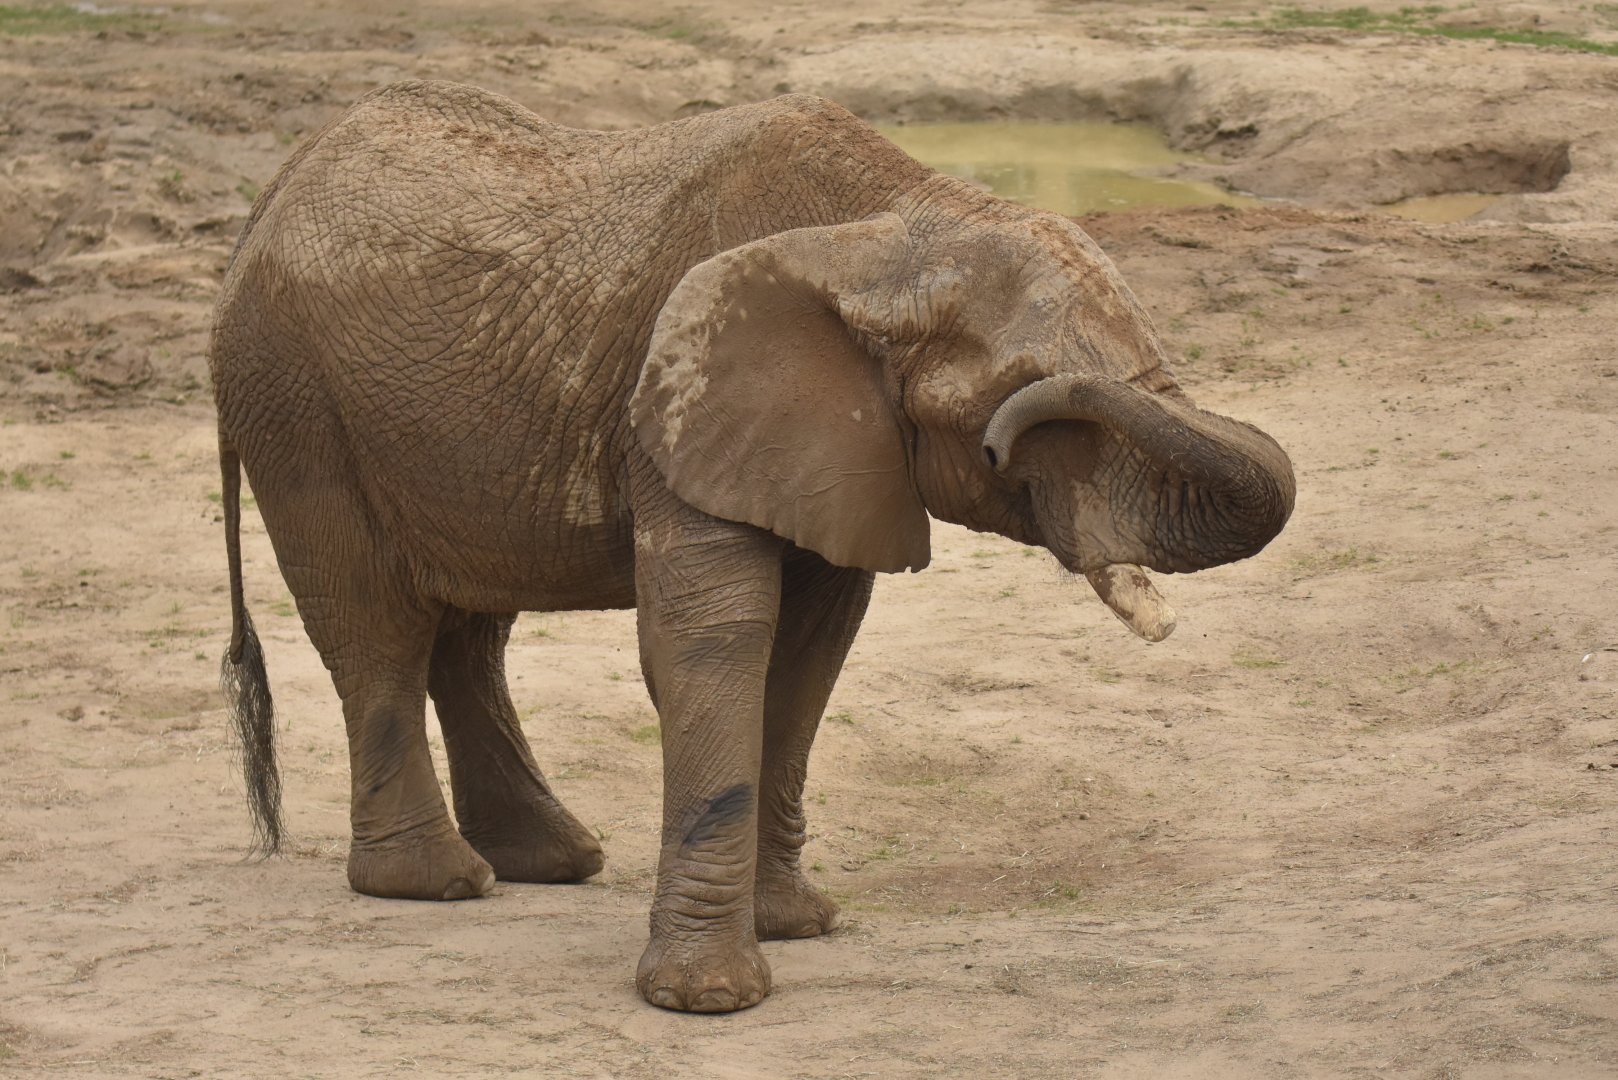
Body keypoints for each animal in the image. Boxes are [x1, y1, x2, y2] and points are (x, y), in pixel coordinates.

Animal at [209, 80, 1294, 1014]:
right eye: (1018, 400)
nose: (1008, 437)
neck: (889, 227)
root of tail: (271, 193)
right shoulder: (675, 406)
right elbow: (714, 638)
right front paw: (707, 999)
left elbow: (811, 650)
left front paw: (796, 928)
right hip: (296, 405)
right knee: (378, 627)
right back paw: (434, 883)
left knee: (470, 630)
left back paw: (552, 862)